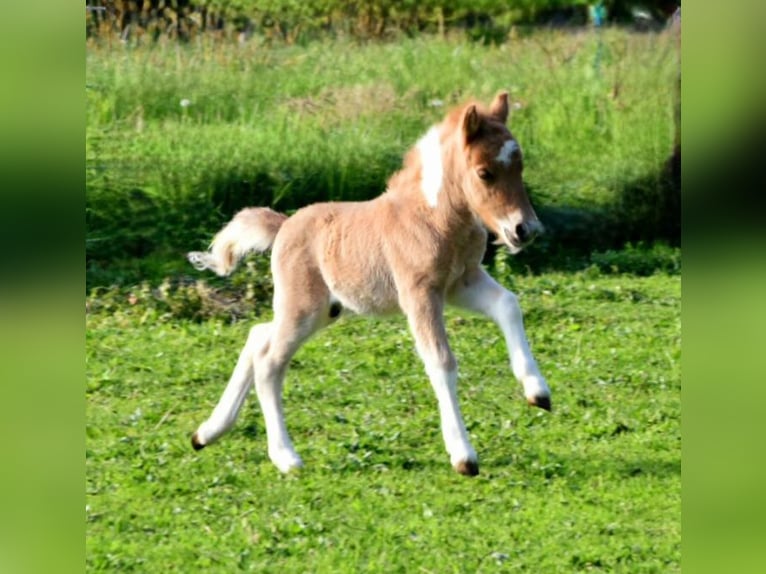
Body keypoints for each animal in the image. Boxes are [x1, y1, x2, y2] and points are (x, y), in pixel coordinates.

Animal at [190, 91, 556, 476]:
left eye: (520, 167)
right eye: (485, 173)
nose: (525, 230)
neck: (431, 218)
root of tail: (283, 225)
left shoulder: (461, 283)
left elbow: (508, 304)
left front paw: (538, 393)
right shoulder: (420, 294)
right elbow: (441, 360)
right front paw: (463, 456)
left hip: (325, 311)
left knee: (257, 337)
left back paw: (207, 433)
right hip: (303, 307)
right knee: (269, 362)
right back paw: (286, 457)